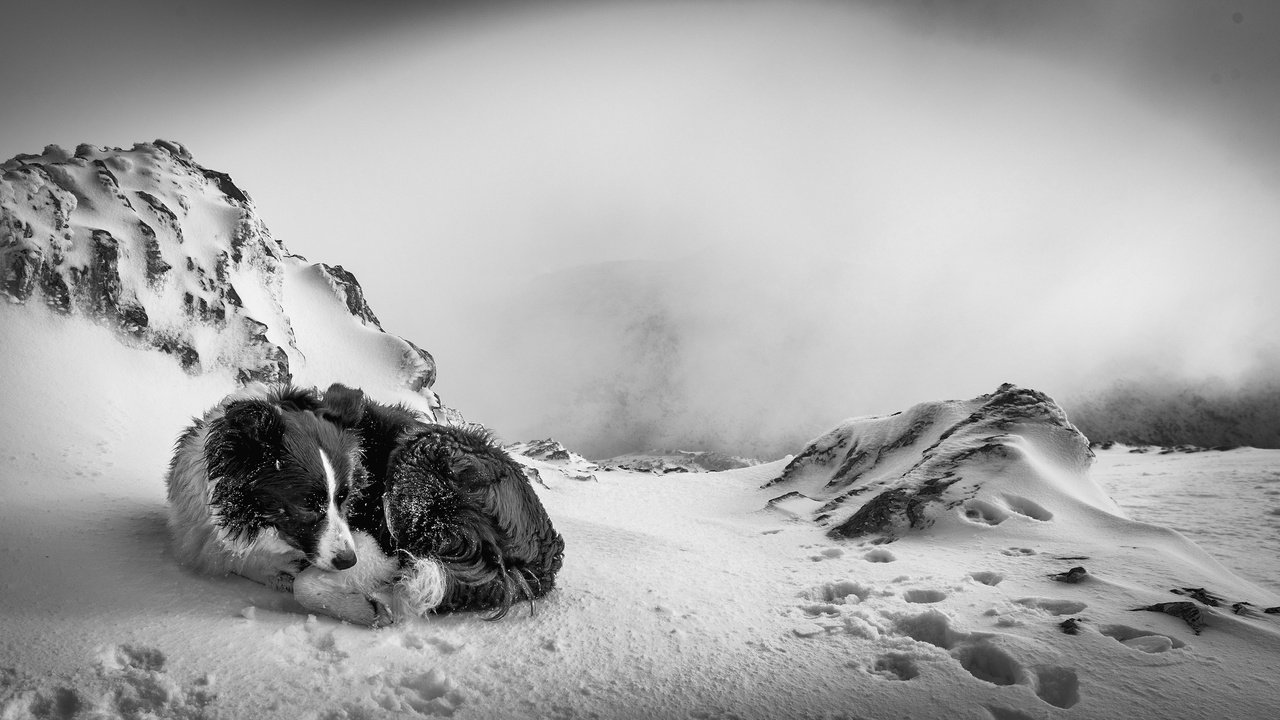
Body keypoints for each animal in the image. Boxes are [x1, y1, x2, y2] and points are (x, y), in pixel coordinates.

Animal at [165, 381, 565, 622]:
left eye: (345, 497)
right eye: (307, 503)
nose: (347, 560)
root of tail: (545, 554)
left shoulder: (379, 542)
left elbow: (305, 585)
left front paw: (363, 607)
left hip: (417, 460)